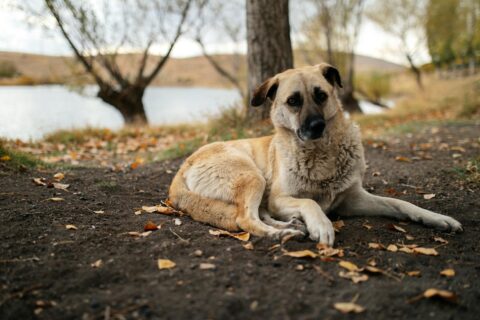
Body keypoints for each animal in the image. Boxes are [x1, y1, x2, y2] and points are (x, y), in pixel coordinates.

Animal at [168, 63, 462, 245]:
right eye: (293, 101)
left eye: (321, 95)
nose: (317, 126)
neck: (321, 155)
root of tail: (182, 168)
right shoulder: (280, 198)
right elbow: (310, 202)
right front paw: (321, 225)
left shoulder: (352, 200)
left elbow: (401, 204)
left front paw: (437, 218)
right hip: (252, 177)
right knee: (245, 218)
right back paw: (280, 234)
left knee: (255, 214)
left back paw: (291, 226)